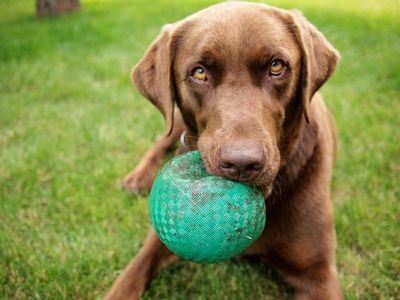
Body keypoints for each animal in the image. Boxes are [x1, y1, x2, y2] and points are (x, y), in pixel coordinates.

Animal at [105, 2, 340, 300]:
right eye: (199, 72)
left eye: (276, 66)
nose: (241, 163)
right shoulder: (161, 238)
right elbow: (131, 275)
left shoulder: (318, 274)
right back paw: (137, 178)